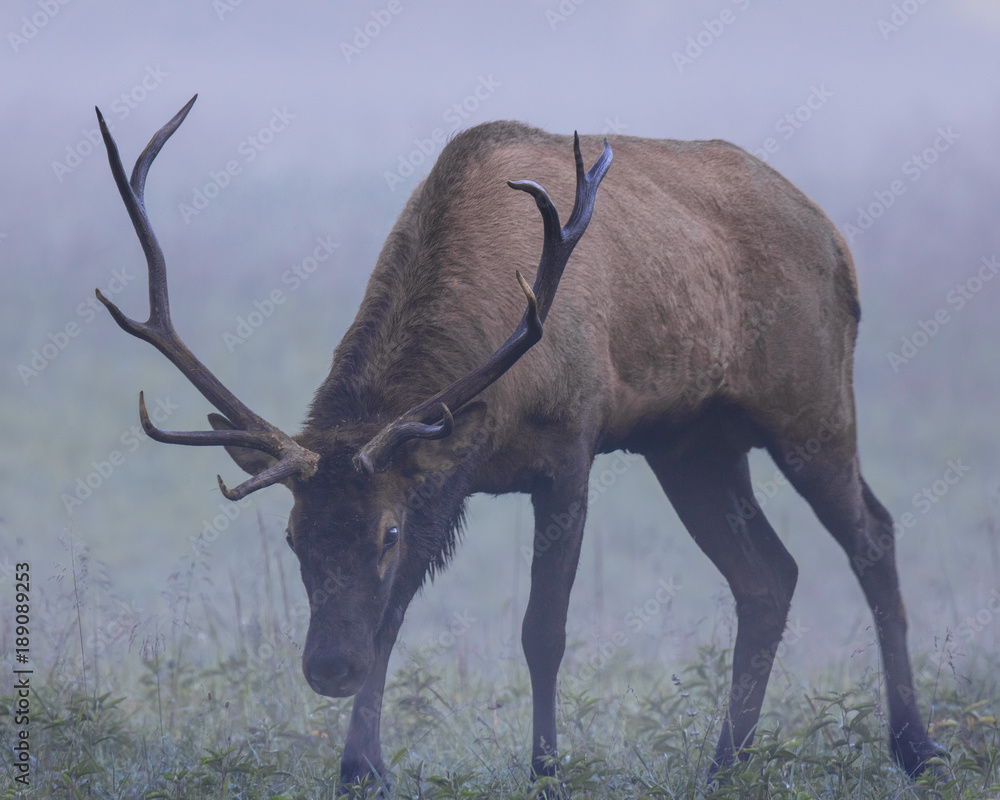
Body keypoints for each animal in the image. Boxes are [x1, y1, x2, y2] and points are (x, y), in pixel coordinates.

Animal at [95, 95, 939, 791]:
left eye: (384, 533)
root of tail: (836, 237)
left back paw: (915, 748)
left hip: (811, 402)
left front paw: (546, 771)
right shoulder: (442, 475)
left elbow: (544, 631)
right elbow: (391, 621)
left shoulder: (568, 454)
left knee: (873, 534)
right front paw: (361, 769)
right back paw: (725, 763)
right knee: (768, 574)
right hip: (692, 444)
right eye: (294, 536)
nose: (329, 667)